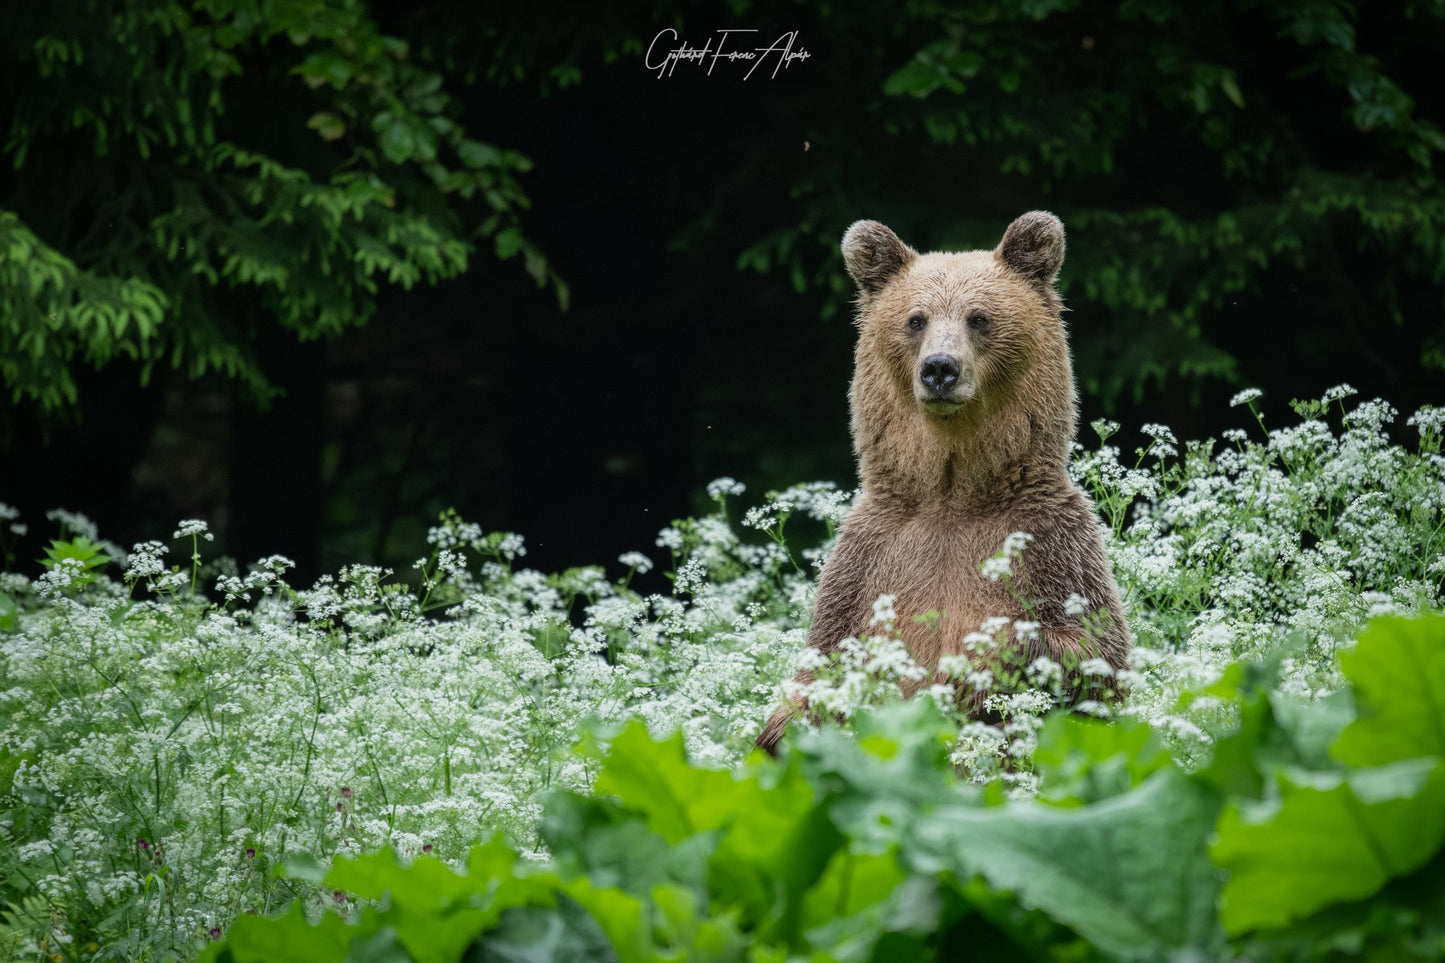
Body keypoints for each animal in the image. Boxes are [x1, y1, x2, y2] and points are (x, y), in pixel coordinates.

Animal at [757, 209, 1127, 751]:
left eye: (979, 317)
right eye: (916, 319)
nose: (939, 369)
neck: (952, 493)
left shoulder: (1053, 547)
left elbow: (1096, 657)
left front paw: (972, 666)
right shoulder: (866, 561)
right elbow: (816, 671)